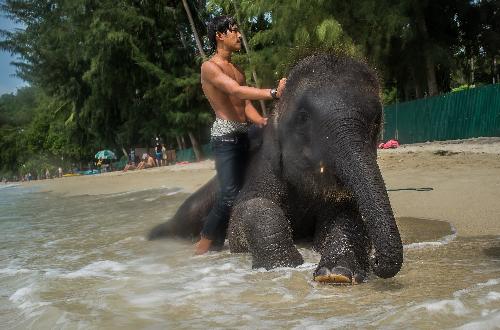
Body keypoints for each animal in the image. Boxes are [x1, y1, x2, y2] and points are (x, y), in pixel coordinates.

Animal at [148, 54, 402, 284]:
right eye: (303, 118)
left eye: (376, 121)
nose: (376, 261)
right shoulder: (263, 168)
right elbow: (248, 210)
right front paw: (283, 265)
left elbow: (347, 214)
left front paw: (336, 273)